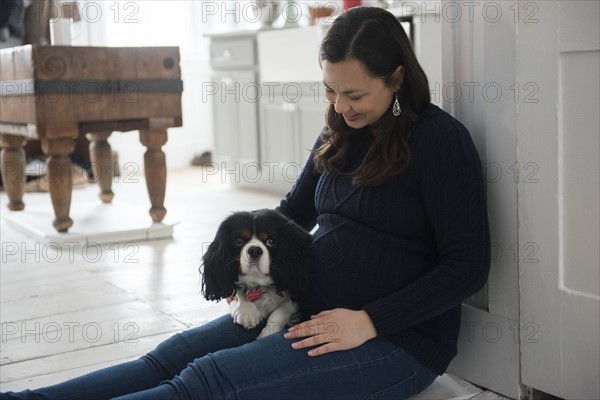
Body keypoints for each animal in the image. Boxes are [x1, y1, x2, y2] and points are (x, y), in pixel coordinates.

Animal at [203, 209, 314, 338]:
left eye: (271, 242)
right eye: (239, 241)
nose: (254, 250)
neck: (259, 283)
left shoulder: (296, 294)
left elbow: (280, 311)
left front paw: (268, 333)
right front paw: (247, 312)